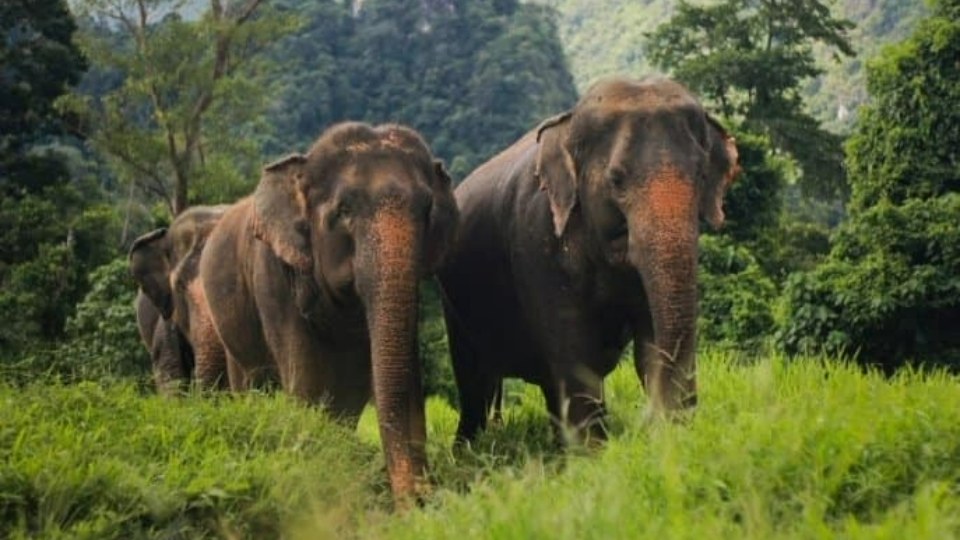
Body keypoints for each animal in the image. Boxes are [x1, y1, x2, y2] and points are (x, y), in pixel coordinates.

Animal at [199, 122, 458, 504]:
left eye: (427, 209)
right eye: (344, 210)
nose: (415, 499)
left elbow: (402, 375)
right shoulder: (272, 274)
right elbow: (306, 378)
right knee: (251, 379)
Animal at [438, 77, 741, 442]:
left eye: (700, 175)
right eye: (616, 179)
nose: (648, 421)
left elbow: (650, 344)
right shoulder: (536, 241)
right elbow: (575, 355)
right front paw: (596, 451)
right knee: (472, 381)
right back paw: (468, 447)